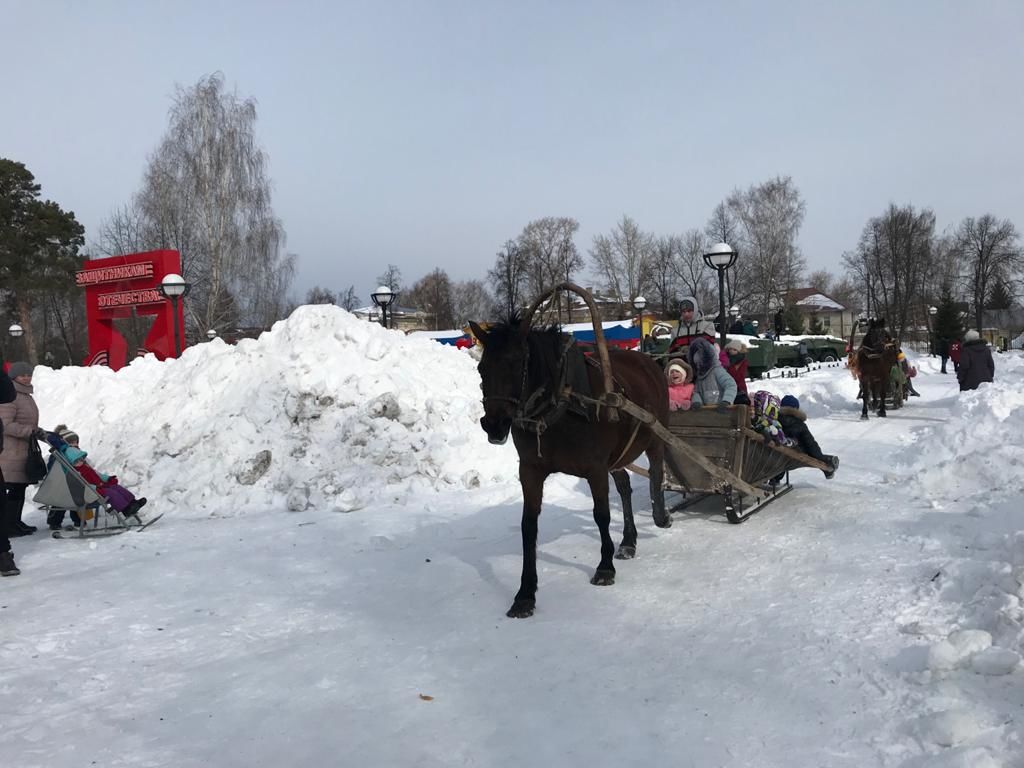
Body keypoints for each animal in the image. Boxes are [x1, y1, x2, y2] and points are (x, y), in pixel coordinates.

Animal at [471, 313, 671, 618]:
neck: (561, 407)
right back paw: (628, 540)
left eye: (517, 363)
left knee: (656, 470)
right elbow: (528, 525)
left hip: (655, 434)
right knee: (624, 486)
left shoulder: (596, 468)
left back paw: (660, 513)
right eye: (482, 368)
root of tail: (650, 362)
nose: (494, 425)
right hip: (618, 455)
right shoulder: (530, 470)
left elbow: (601, 515)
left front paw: (605, 567)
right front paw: (525, 593)